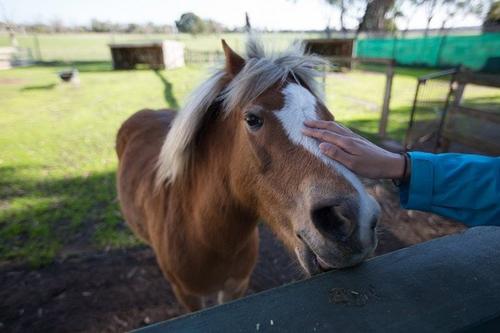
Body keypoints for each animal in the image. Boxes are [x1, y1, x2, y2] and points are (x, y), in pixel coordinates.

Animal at [117, 39, 380, 312]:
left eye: (329, 117)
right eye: (252, 119)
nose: (350, 218)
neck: (205, 237)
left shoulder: (236, 287)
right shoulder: (188, 296)